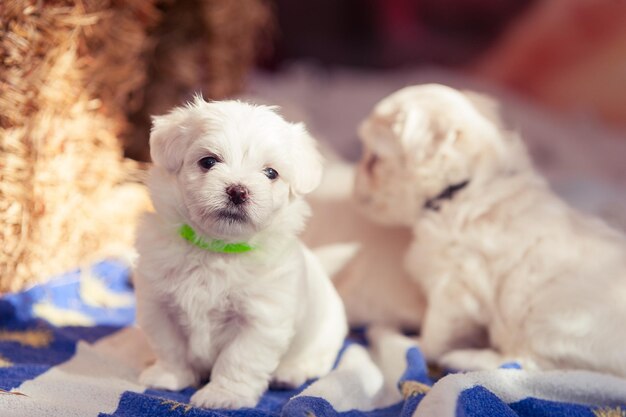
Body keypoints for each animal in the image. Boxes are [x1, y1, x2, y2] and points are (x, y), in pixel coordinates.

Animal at [134, 96, 346, 406]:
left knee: (317, 361)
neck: (217, 249)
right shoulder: (158, 306)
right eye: (208, 161)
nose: (237, 191)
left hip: (325, 334)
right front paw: (169, 376)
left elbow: (239, 359)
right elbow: (169, 346)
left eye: (271, 173)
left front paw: (222, 395)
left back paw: (290, 373)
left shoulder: (261, 319)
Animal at [354, 83, 624, 376]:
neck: (461, 188)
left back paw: (462, 358)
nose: (354, 183)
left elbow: (435, 331)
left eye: (374, 159)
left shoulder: (455, 286)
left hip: (553, 321)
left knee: (530, 363)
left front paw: (412, 343)